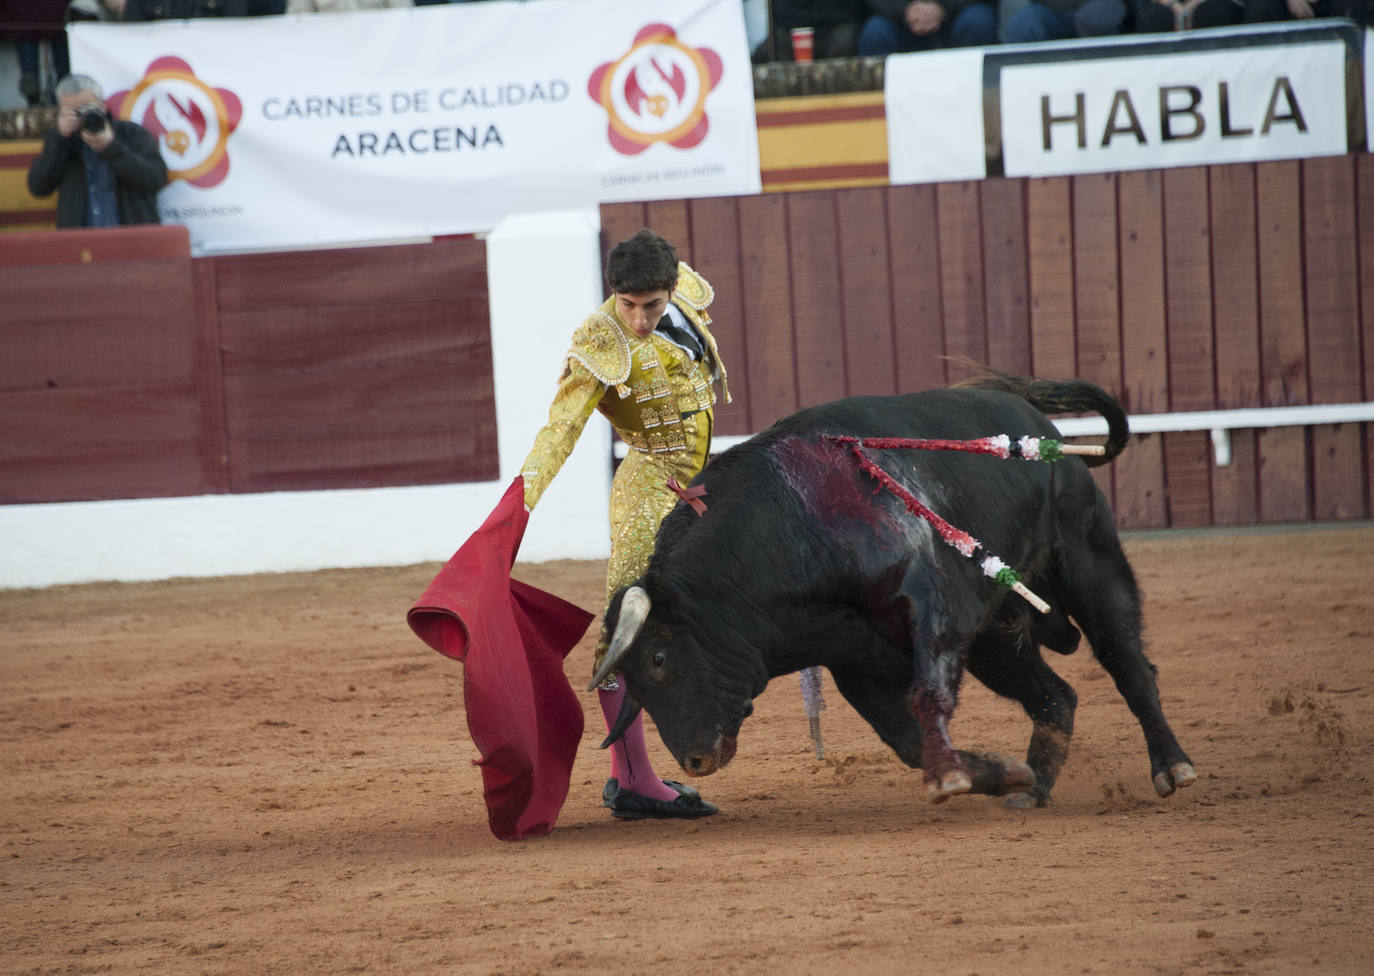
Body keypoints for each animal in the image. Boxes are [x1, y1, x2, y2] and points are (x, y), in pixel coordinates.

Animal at [596, 373, 1198, 808]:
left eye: (657, 657)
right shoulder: (854, 662)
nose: (694, 762)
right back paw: (1033, 791)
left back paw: (1172, 766)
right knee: (1056, 696)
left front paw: (951, 776)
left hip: (1088, 563)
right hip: (996, 644)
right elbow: (905, 738)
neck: (790, 526)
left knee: (1126, 662)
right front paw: (999, 772)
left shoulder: (934, 604)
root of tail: (1029, 419)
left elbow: (928, 696)